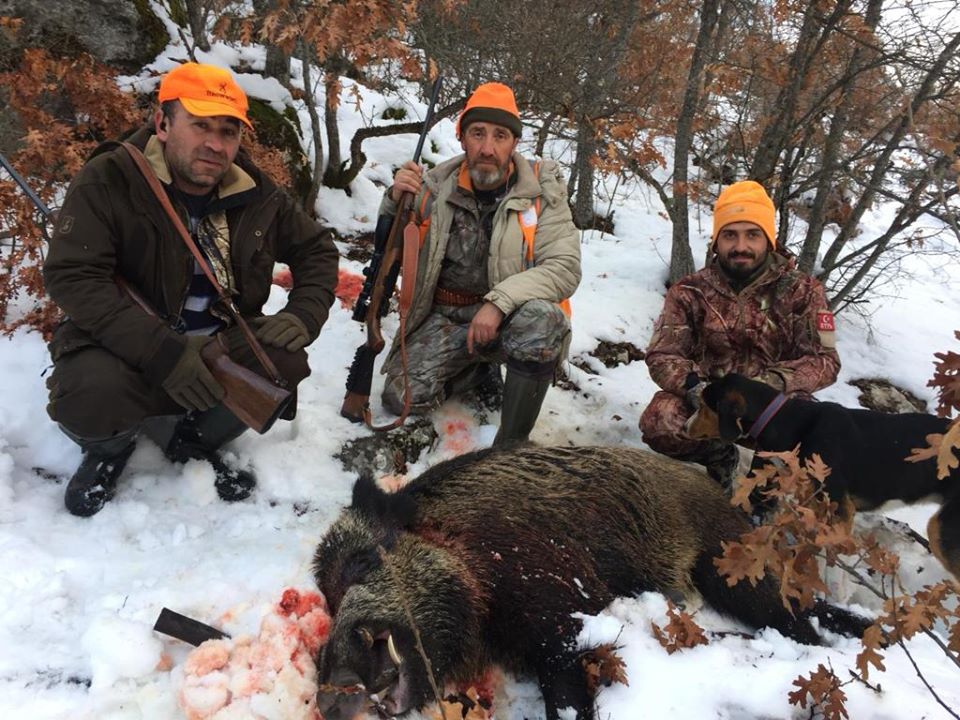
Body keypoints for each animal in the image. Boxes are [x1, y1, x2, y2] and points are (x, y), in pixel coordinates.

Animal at [688, 372, 960, 580]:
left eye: (703, 405)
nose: (685, 426)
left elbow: (832, 560)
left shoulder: (839, 510)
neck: (790, 423)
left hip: (941, 530)